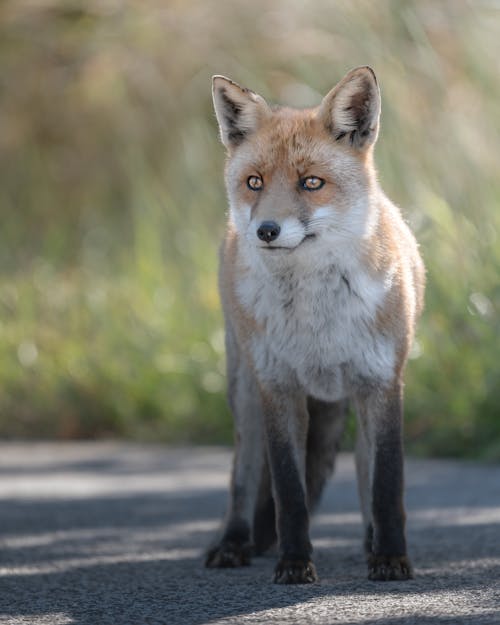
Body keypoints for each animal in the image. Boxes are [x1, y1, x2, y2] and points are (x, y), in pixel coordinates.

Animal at [205, 66, 424, 584]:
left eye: (311, 182)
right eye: (255, 181)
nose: (265, 230)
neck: (317, 322)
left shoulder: (382, 383)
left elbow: (387, 483)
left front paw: (391, 558)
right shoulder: (278, 387)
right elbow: (289, 491)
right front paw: (294, 561)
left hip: (359, 399)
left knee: (365, 472)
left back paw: (370, 542)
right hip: (244, 392)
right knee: (243, 476)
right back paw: (233, 542)